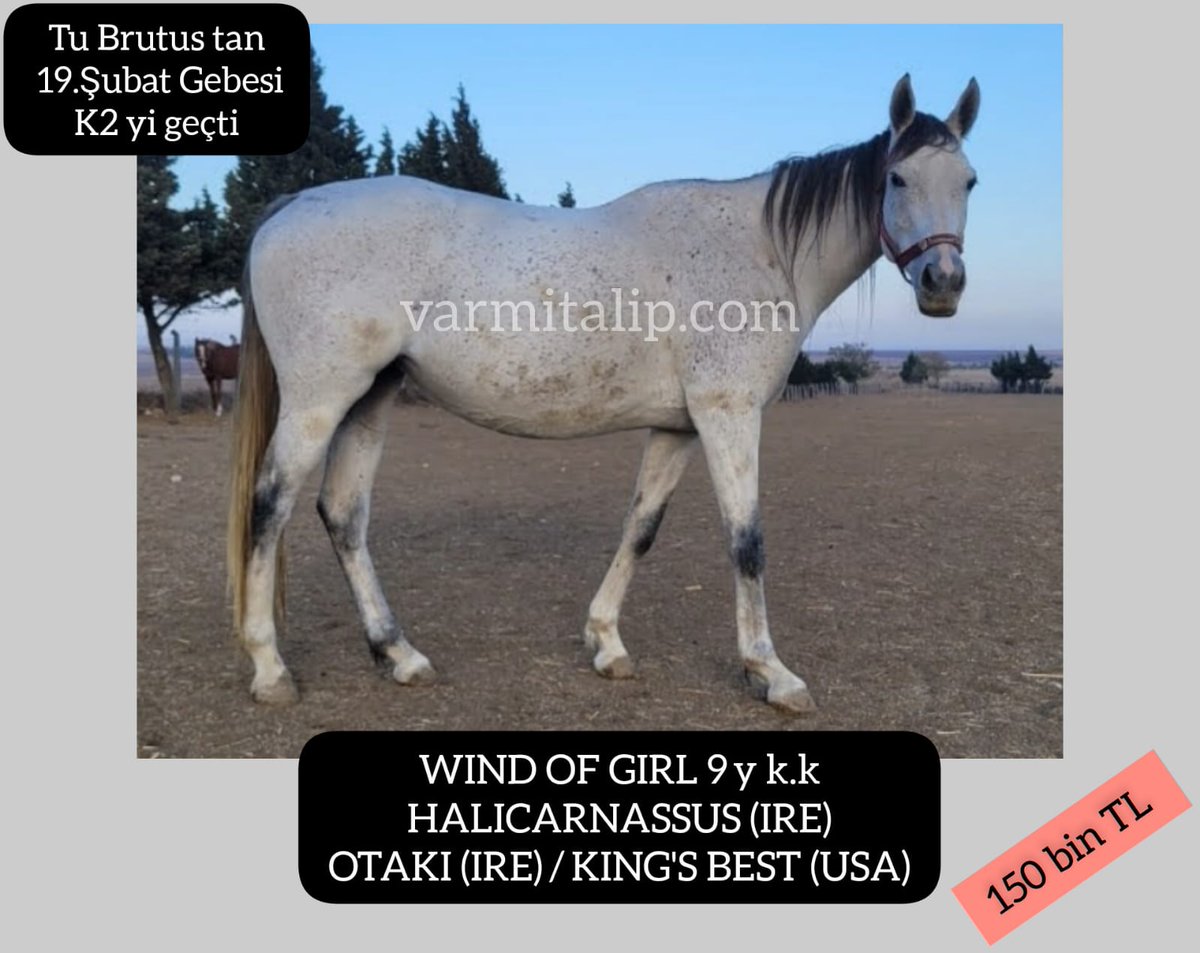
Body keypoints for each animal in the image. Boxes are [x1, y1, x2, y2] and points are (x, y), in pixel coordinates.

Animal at [227, 74, 980, 713]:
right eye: (898, 176)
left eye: (969, 180)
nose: (943, 283)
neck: (764, 249)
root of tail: (292, 206)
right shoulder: (728, 415)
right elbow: (747, 541)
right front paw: (771, 671)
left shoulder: (679, 427)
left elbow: (640, 527)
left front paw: (606, 641)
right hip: (319, 401)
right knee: (270, 506)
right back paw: (268, 668)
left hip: (369, 401)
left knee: (343, 514)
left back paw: (399, 653)